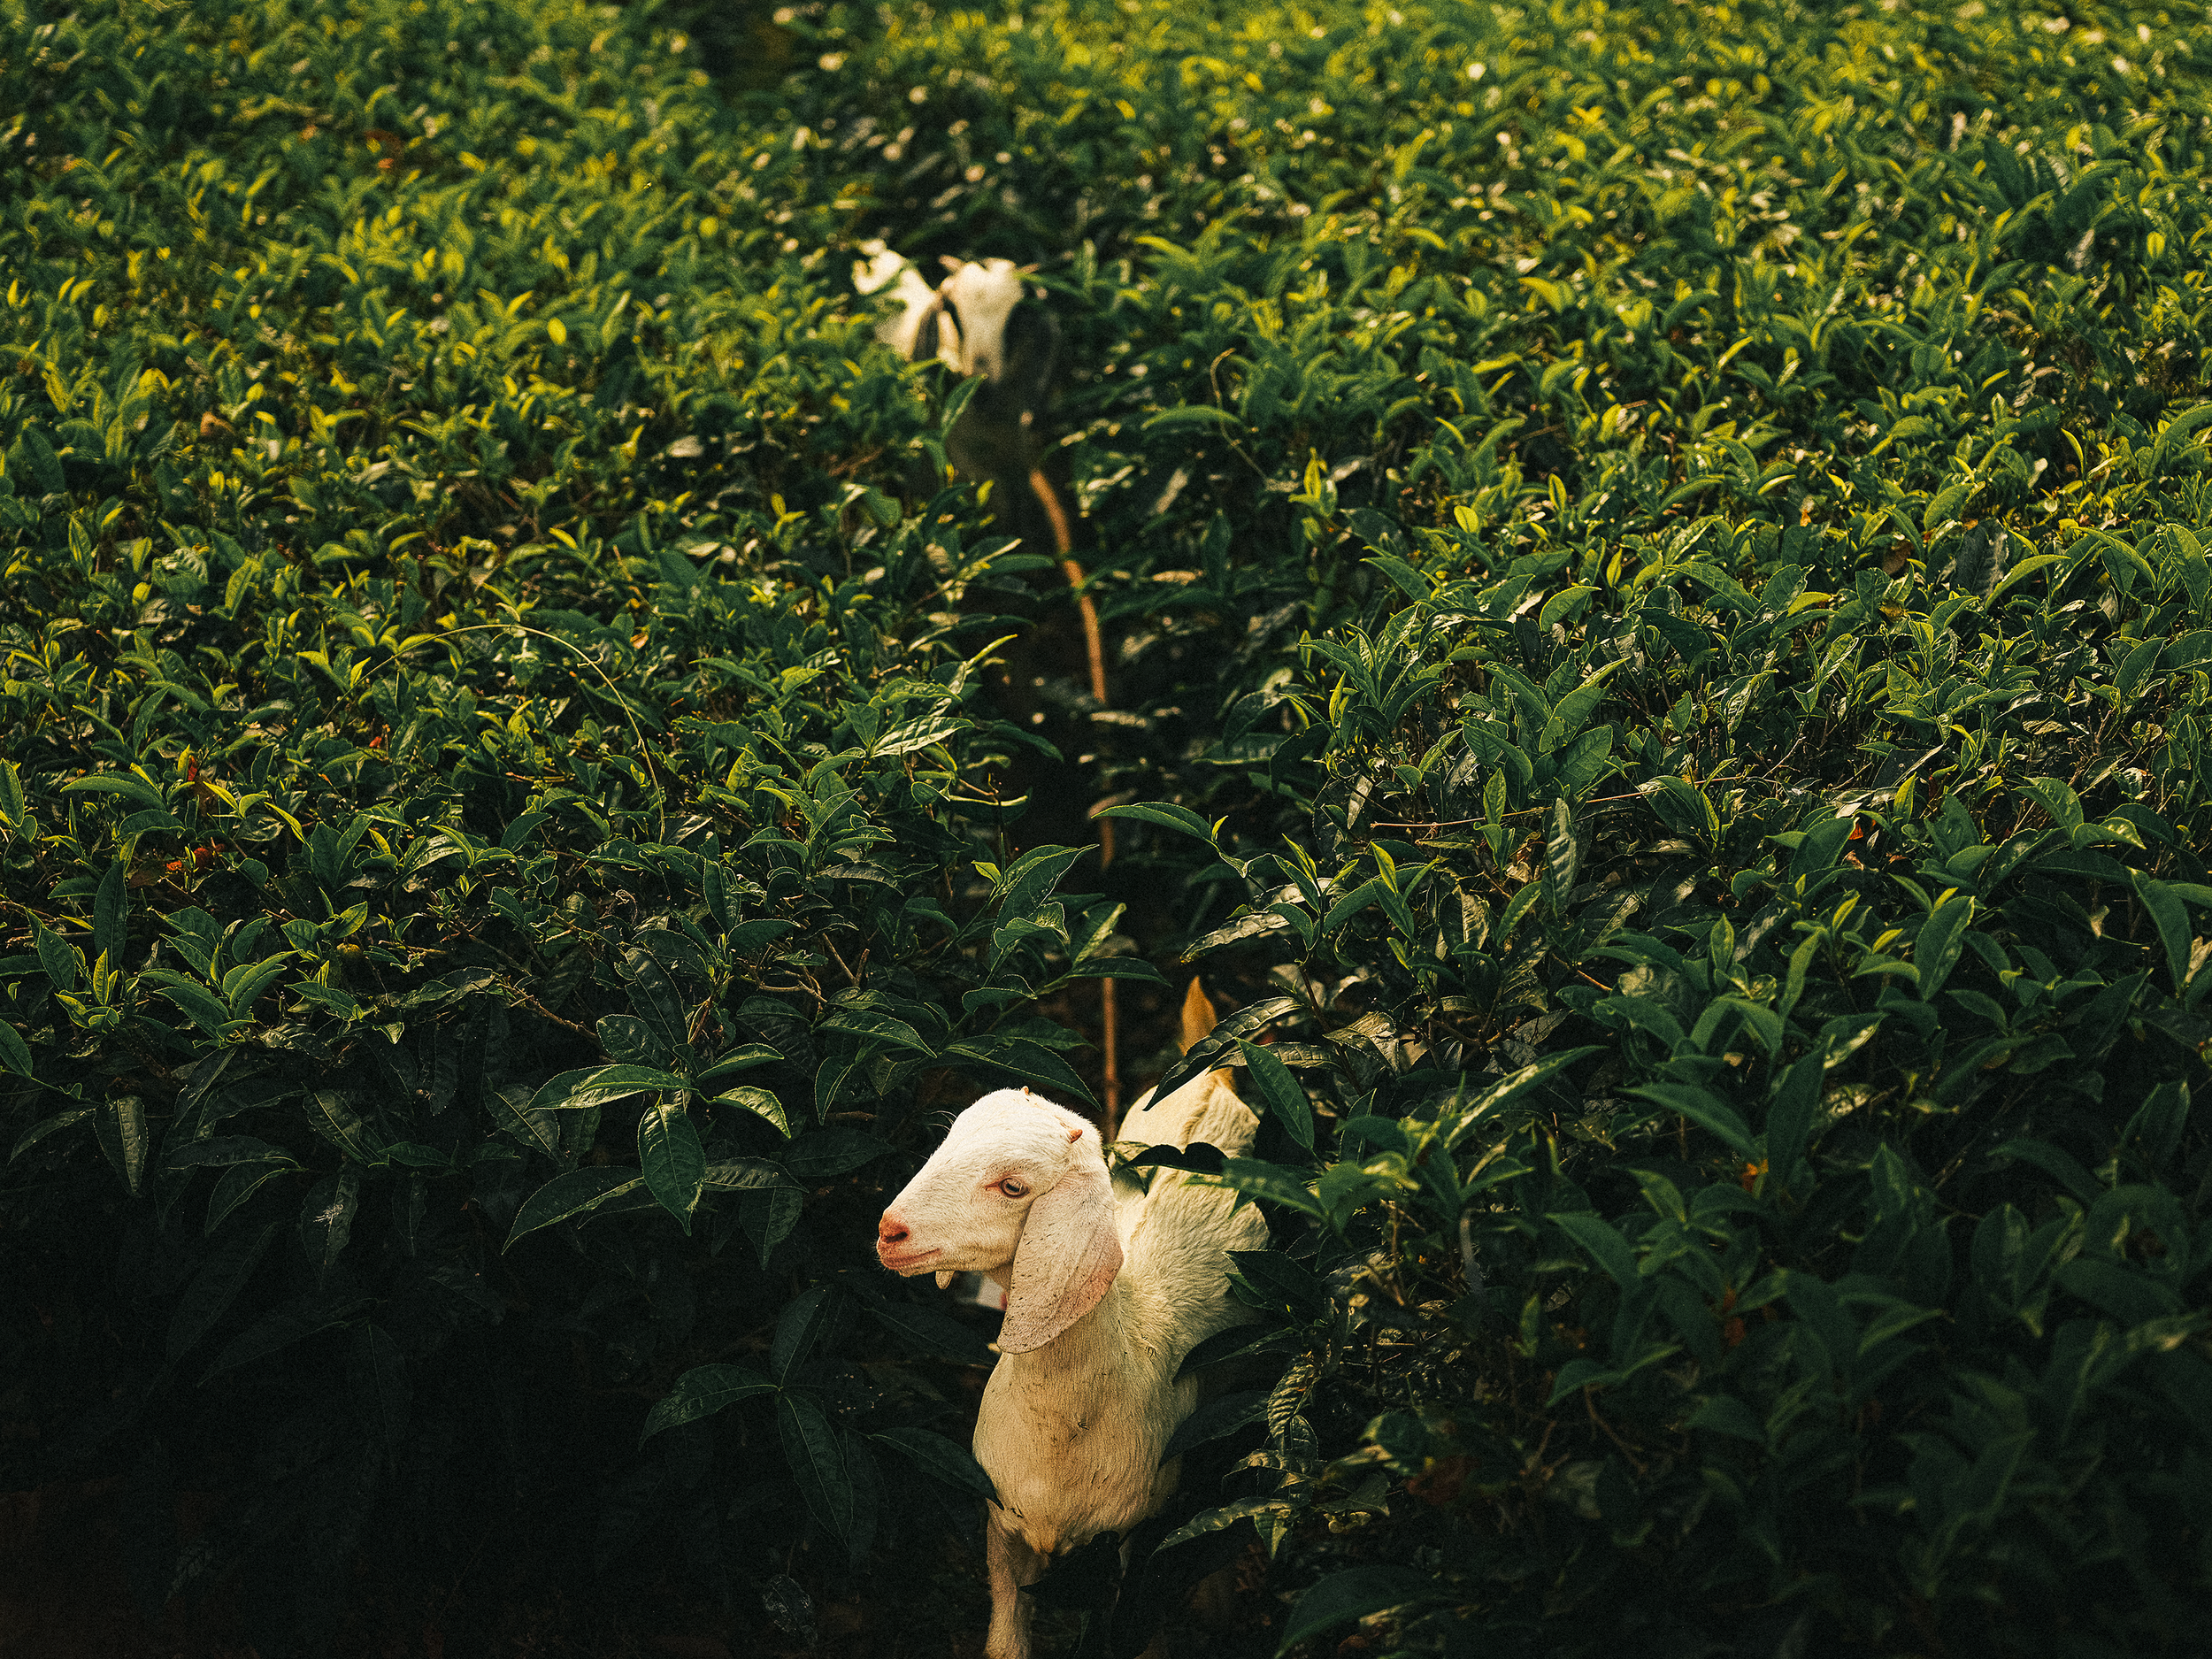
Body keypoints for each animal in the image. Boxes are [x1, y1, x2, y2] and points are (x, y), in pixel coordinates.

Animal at [875, 982, 1264, 1659]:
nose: (889, 1230)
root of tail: (1212, 1076)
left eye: (1013, 1186)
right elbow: (1006, 1641)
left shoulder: (1130, 1537)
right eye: (946, 1142)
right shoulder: (1003, 1521)